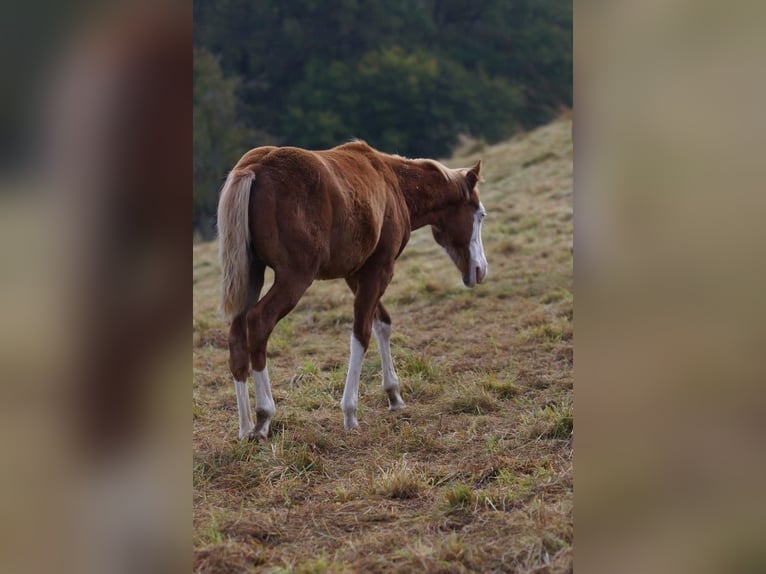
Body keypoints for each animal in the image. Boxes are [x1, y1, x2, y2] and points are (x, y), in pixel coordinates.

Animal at [216, 142, 488, 444]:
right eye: (480, 215)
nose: (480, 270)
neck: (393, 182)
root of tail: (254, 167)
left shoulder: (356, 273)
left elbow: (381, 324)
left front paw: (394, 394)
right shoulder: (380, 268)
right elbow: (362, 333)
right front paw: (350, 412)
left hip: (251, 276)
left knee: (237, 335)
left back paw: (244, 426)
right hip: (294, 278)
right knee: (259, 322)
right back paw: (264, 416)